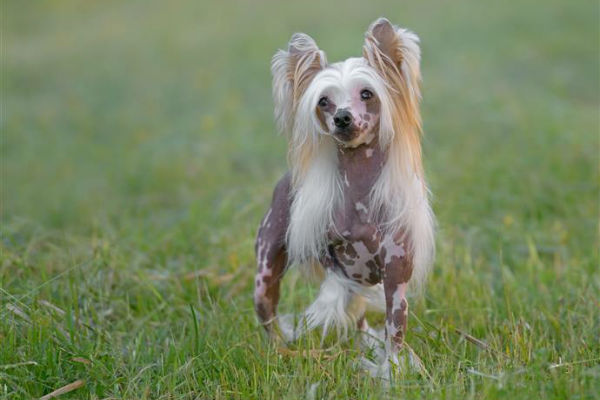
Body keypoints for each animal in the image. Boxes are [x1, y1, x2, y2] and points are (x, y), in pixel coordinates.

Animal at [253, 17, 436, 376]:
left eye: (367, 94)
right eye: (324, 101)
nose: (342, 117)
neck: (359, 192)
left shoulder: (396, 275)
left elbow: (395, 328)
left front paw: (392, 370)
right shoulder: (337, 263)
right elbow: (342, 292)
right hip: (264, 273)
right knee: (269, 317)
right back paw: (280, 353)